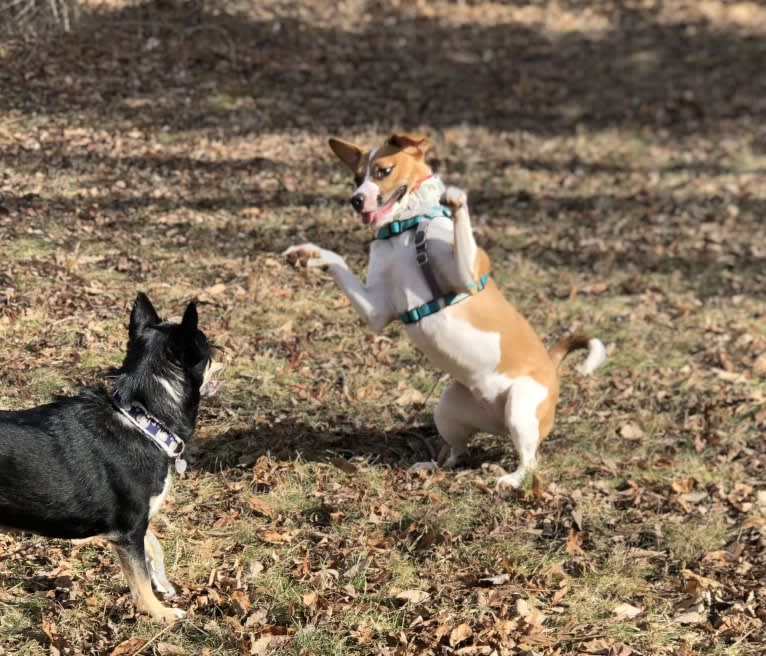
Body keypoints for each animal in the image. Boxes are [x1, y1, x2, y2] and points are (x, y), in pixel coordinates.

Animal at [0, 294, 222, 624]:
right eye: (207, 347)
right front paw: (160, 613)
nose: (225, 354)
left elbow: (152, 546)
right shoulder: (128, 531)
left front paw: (162, 582)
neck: (143, 420)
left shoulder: (134, 525)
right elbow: (140, 584)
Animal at [284, 132, 608, 486]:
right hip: (448, 408)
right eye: (357, 178)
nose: (356, 200)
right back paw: (433, 466)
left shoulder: (468, 277)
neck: (406, 229)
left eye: (383, 171)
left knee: (530, 461)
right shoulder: (376, 311)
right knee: (457, 452)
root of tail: (551, 364)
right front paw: (309, 254)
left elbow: (460, 223)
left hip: (520, 407)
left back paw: (510, 479)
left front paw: (455, 200)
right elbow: (338, 261)